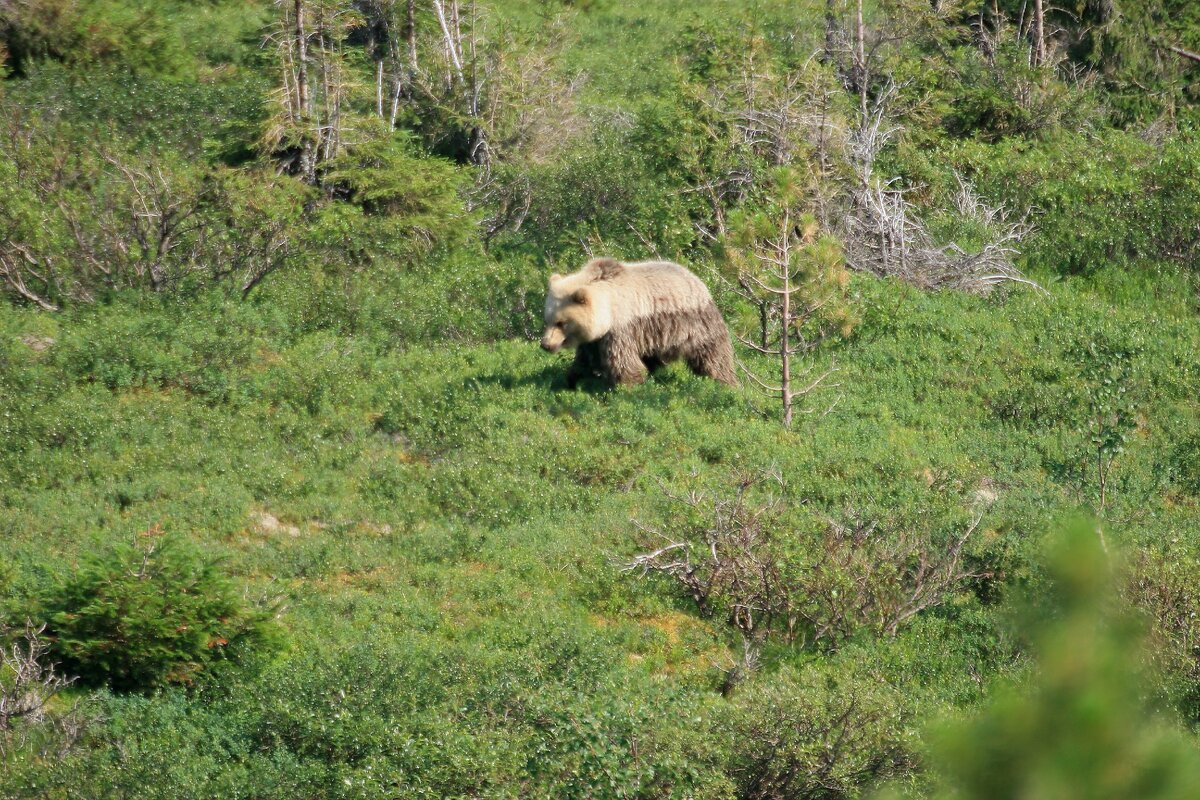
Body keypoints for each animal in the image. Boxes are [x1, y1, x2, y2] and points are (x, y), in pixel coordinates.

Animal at [540, 260, 734, 388]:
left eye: (562, 323)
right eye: (547, 320)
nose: (546, 345)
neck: (607, 311)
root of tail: (697, 278)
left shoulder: (621, 327)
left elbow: (622, 361)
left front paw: (625, 386)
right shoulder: (596, 338)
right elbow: (585, 360)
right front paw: (572, 379)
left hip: (694, 323)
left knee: (713, 354)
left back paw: (724, 383)